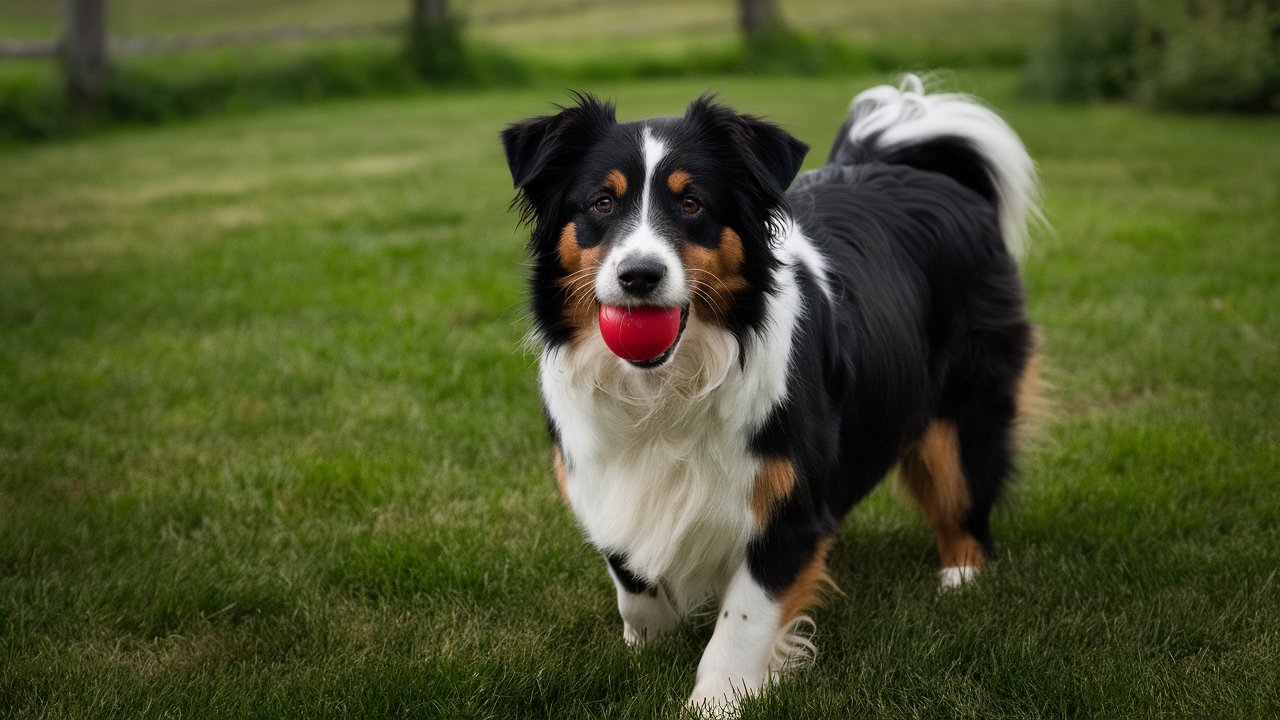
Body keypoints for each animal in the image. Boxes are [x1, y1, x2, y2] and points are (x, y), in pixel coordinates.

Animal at [499, 75, 1039, 707]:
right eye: (602, 203)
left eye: (692, 203)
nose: (639, 276)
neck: (666, 384)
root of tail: (913, 168)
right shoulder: (599, 473)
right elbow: (629, 572)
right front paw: (649, 640)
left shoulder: (788, 499)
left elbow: (746, 618)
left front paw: (715, 701)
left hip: (967, 400)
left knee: (963, 484)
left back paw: (960, 575)